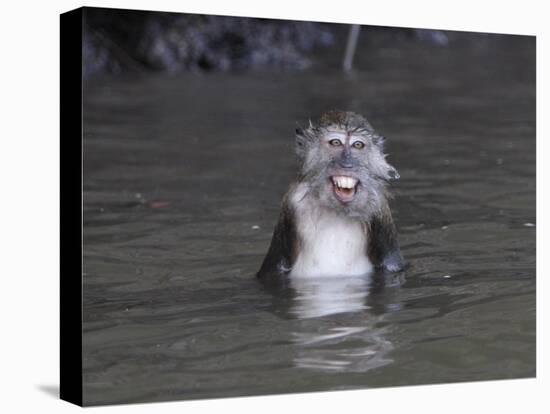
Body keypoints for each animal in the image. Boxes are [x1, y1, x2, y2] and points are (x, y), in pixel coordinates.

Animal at [258, 110, 406, 280]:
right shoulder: (291, 202)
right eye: (335, 142)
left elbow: (392, 265)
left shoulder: (379, 208)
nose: (348, 164)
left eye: (358, 145)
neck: (337, 210)